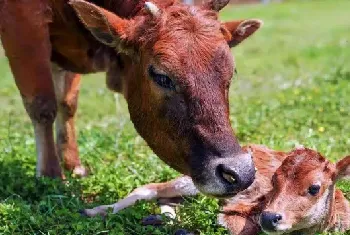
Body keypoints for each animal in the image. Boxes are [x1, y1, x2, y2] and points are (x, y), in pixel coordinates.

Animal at [0, 0, 262, 197]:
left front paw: (73, 165)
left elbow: (67, 103)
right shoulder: (22, 21)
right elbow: (43, 105)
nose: (240, 172)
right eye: (161, 76)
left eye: (231, 71)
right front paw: (50, 175)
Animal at [82, 145, 350, 235]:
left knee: (168, 200)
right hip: (195, 182)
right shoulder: (239, 211)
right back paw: (95, 211)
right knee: (149, 189)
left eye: (314, 188)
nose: (269, 217)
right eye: (274, 181)